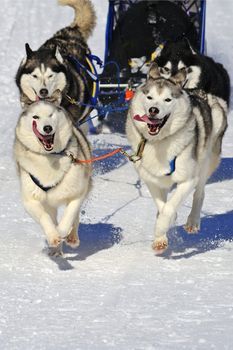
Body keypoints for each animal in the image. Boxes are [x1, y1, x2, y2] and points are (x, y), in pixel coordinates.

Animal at [13, 100, 92, 253]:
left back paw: (72, 237)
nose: (47, 128)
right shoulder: (30, 200)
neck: (50, 157)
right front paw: (54, 236)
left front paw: (61, 231)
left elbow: (70, 215)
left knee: (75, 216)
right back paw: (56, 249)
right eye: (35, 117)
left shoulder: (77, 193)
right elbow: (44, 217)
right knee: (52, 216)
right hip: (49, 204)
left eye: (51, 115)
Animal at [125, 63, 228, 253]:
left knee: (200, 193)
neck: (159, 142)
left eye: (168, 99)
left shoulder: (187, 180)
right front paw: (161, 236)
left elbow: (169, 208)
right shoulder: (151, 179)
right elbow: (162, 205)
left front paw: (161, 227)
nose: (153, 110)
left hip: (206, 160)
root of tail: (198, 91)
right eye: (150, 97)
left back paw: (193, 221)